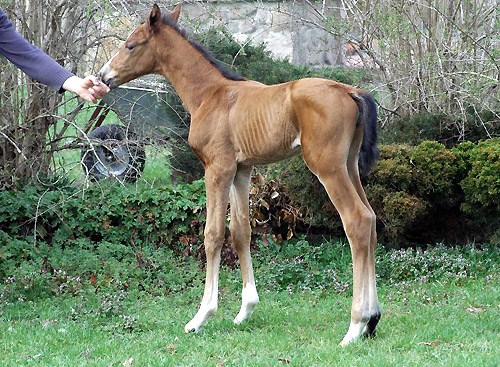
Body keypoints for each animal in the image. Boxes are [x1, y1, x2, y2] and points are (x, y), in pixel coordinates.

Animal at [99, 4, 380, 346]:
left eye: (130, 45)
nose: (103, 76)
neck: (211, 93)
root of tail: (350, 90)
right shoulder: (241, 170)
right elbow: (241, 232)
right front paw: (246, 309)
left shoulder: (217, 168)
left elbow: (213, 234)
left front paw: (201, 316)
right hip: (349, 165)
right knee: (371, 219)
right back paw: (372, 320)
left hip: (327, 167)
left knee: (357, 220)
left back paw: (355, 326)